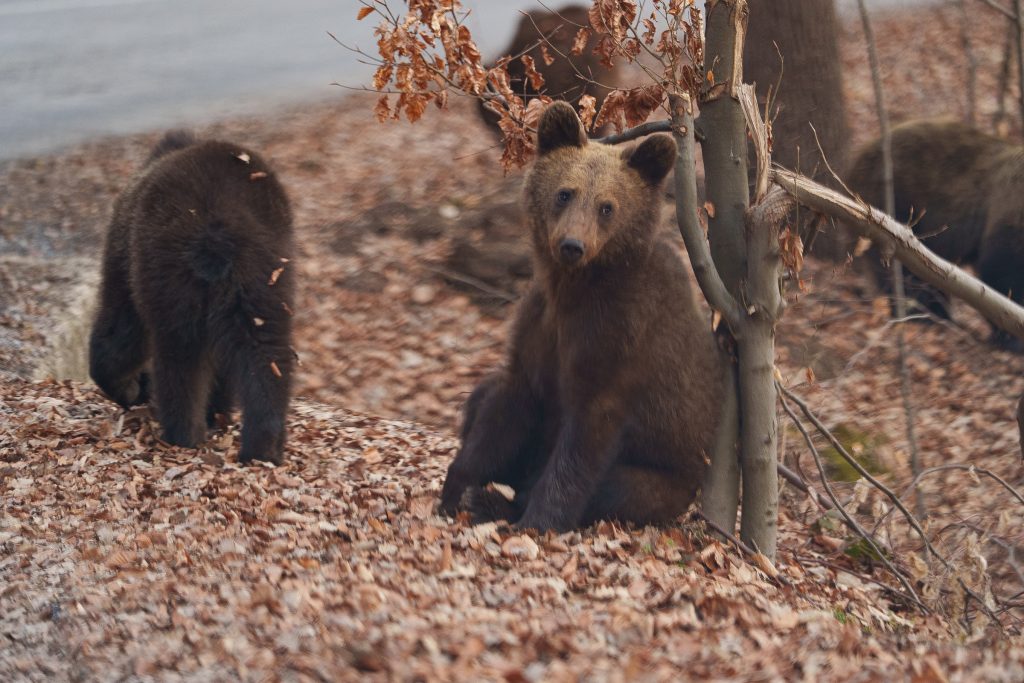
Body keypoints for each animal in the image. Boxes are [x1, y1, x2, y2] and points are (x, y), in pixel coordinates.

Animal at [87, 132, 296, 464]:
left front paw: (127, 386)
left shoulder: (124, 253)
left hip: (170, 274)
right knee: (266, 353)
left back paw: (182, 434)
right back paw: (264, 447)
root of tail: (215, 234)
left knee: (179, 356)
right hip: (261, 280)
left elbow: (121, 329)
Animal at [442, 101, 729, 532]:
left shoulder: (617, 339)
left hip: (664, 479)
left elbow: (581, 448)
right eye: (565, 193)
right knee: (480, 394)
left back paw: (498, 503)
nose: (572, 245)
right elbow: (503, 408)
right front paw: (455, 489)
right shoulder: (539, 327)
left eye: (607, 206)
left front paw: (536, 519)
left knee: (616, 487)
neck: (573, 288)